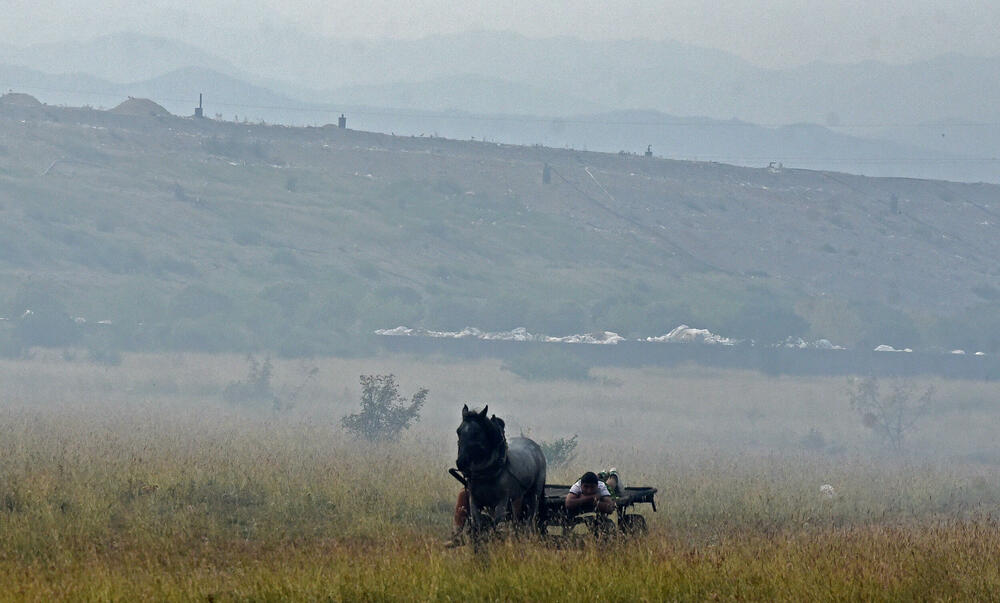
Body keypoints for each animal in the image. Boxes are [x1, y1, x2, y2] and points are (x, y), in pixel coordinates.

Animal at [456, 406, 548, 536]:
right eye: (458, 431)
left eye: (476, 433)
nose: (461, 462)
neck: (486, 473)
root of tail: (537, 448)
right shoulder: (474, 501)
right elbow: (479, 525)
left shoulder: (501, 501)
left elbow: (498, 524)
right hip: (517, 498)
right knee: (517, 519)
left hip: (534, 494)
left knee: (530, 518)